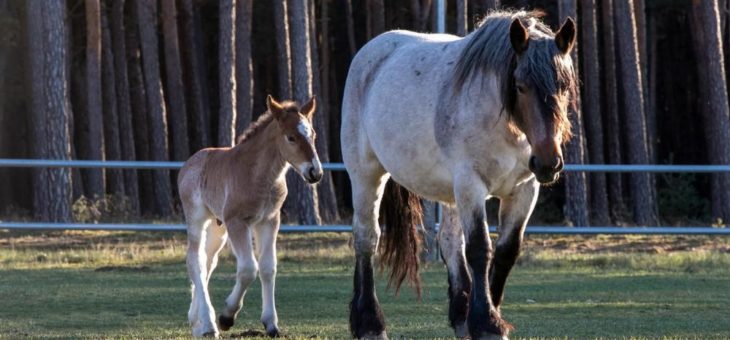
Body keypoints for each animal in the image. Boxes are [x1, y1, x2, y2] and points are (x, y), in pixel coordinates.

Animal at [342, 10, 576, 340]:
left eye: (564, 86)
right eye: (520, 86)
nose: (548, 163)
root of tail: (371, 51)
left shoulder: (525, 189)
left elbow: (506, 251)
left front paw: (488, 314)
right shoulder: (470, 184)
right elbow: (479, 248)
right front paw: (488, 323)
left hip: (450, 192)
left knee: (450, 240)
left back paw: (461, 316)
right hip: (366, 174)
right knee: (366, 238)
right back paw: (370, 323)